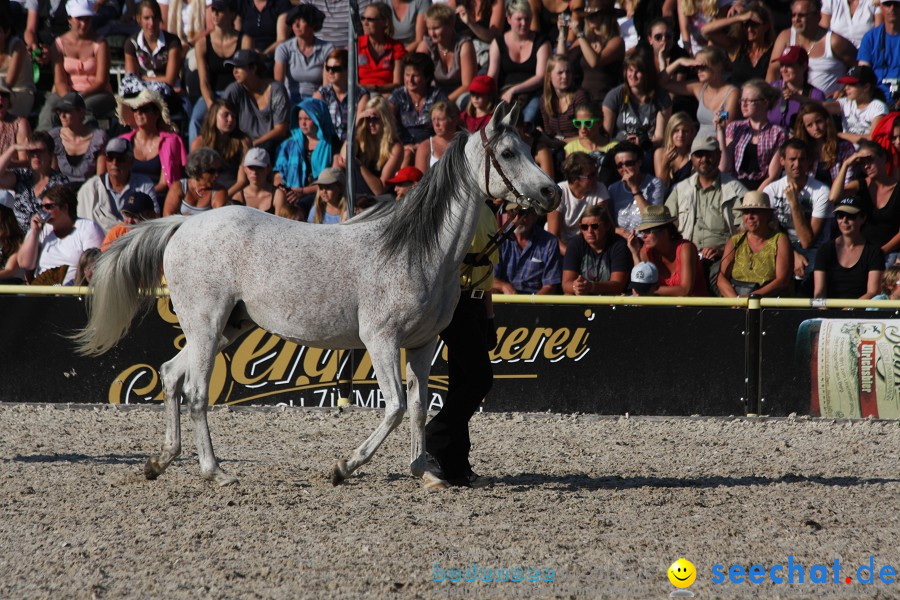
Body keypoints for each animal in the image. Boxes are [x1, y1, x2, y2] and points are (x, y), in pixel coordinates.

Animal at [74, 103, 560, 486]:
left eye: (527, 147)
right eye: (507, 152)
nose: (552, 192)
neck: (416, 251)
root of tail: (183, 225)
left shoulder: (422, 345)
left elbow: (420, 407)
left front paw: (424, 470)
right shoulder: (381, 341)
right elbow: (396, 407)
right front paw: (343, 467)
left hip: (225, 326)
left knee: (172, 375)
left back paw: (161, 461)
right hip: (206, 326)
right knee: (195, 391)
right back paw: (215, 471)